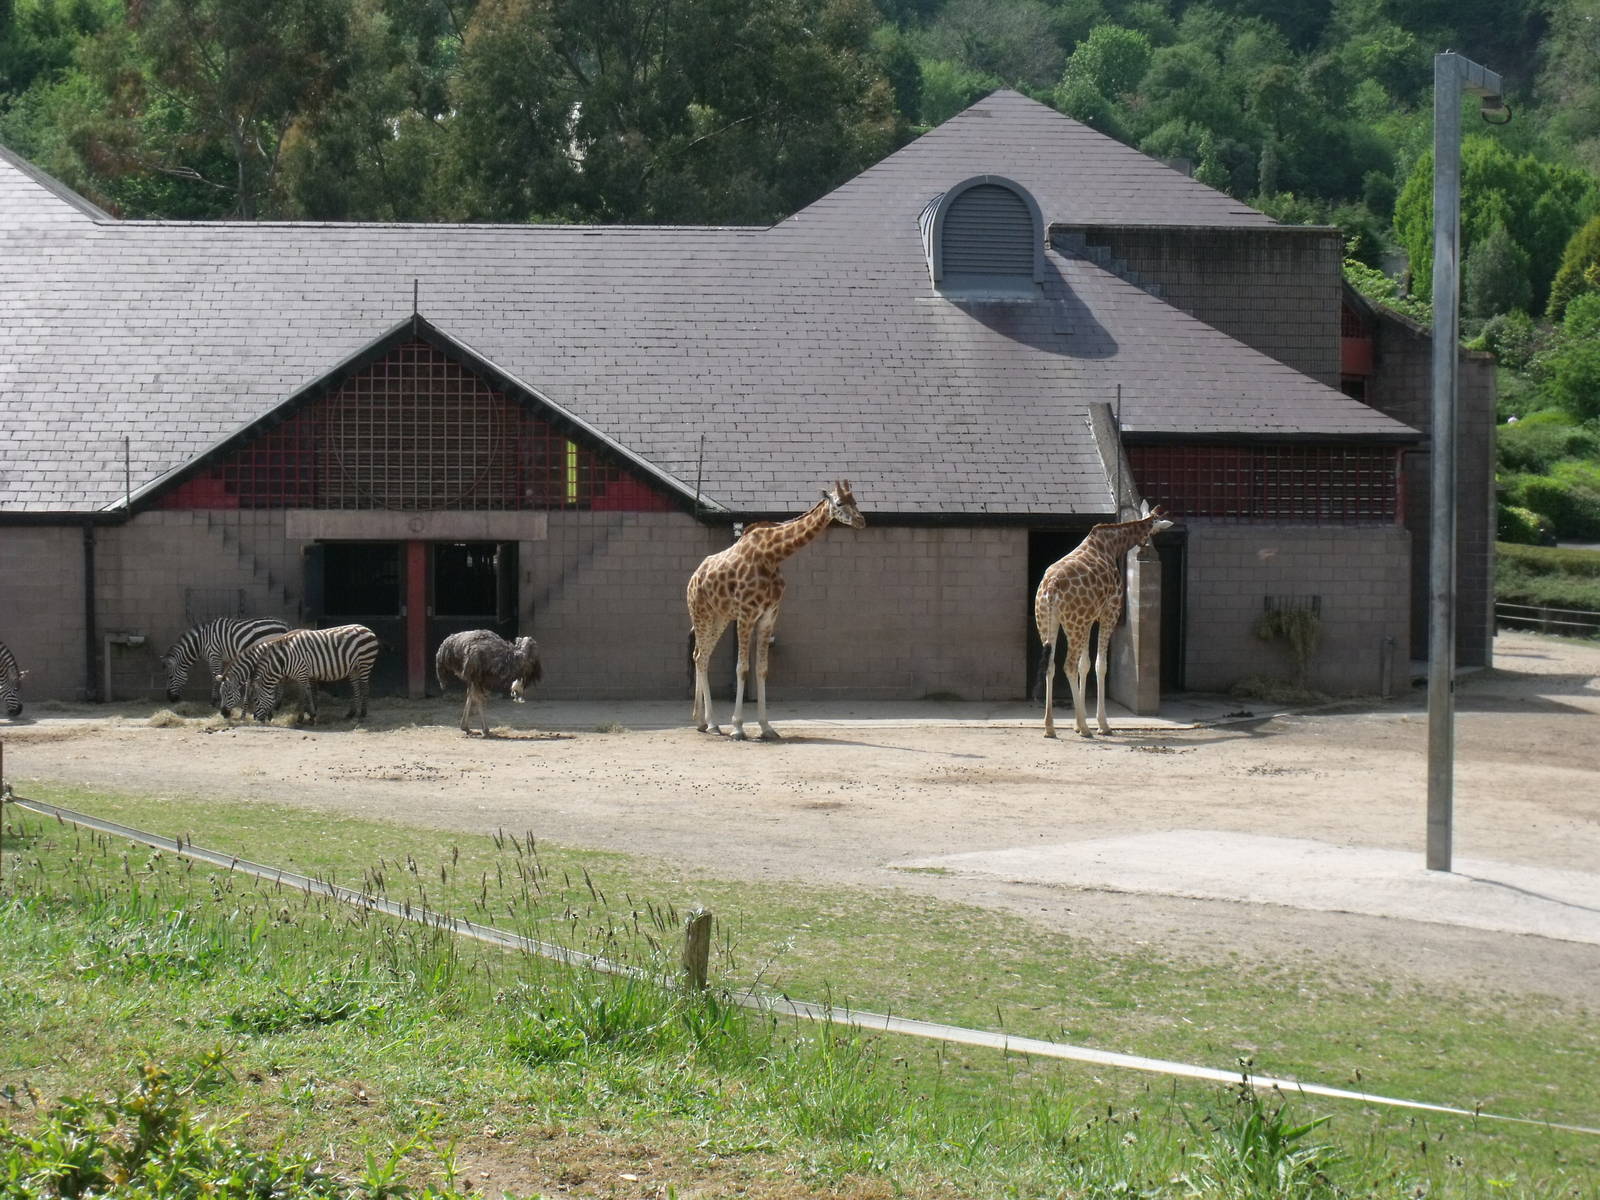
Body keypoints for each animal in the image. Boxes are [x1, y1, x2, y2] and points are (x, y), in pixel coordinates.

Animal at [688, 481, 865, 740]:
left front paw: (766, 727)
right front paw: (738, 727)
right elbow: (742, 669)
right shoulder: (746, 615)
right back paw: (710, 722)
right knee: (701, 658)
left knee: (701, 656)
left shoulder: (768, 617)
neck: (772, 555)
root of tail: (693, 577)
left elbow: (762, 670)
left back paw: (703, 722)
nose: (861, 521)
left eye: (856, 501)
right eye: (840, 502)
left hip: (719, 617)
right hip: (701, 613)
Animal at [1034, 502, 1172, 738]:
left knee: (1051, 665)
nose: (1147, 549)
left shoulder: (1089, 618)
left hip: (1048, 622)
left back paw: (1050, 727)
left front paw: (1076, 724)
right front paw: (1101, 724)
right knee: (1068, 665)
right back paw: (1085, 728)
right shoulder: (1109, 612)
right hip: (1074, 624)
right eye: (1156, 531)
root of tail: (1050, 588)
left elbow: (1085, 665)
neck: (1112, 545)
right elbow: (1100, 665)